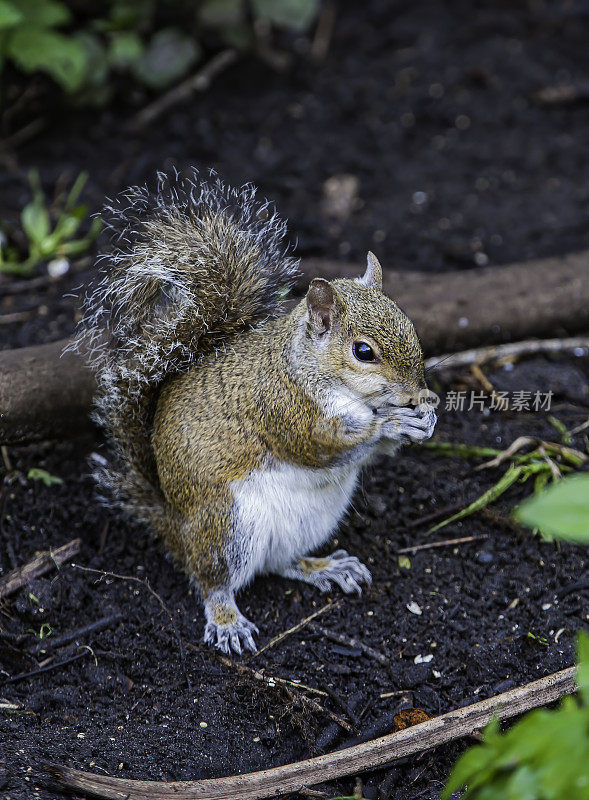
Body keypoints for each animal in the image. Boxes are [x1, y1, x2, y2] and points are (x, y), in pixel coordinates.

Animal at [73, 170, 434, 656]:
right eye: (364, 352)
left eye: (409, 325)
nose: (415, 392)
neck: (308, 367)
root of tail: (175, 525)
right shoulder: (285, 411)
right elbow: (325, 445)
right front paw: (393, 423)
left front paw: (424, 418)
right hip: (228, 525)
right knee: (212, 579)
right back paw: (226, 618)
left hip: (307, 522)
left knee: (278, 563)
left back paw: (324, 568)